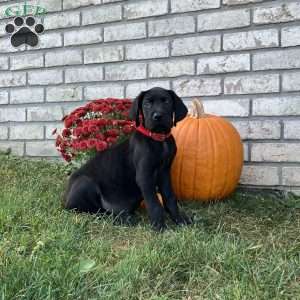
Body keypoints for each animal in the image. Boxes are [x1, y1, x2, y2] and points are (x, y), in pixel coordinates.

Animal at [64, 88, 192, 231]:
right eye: (147, 103)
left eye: (167, 102)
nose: (157, 116)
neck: (158, 139)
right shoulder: (144, 176)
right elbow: (154, 204)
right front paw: (159, 226)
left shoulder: (164, 173)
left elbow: (170, 198)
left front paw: (180, 220)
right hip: (85, 183)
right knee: (93, 212)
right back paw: (121, 218)